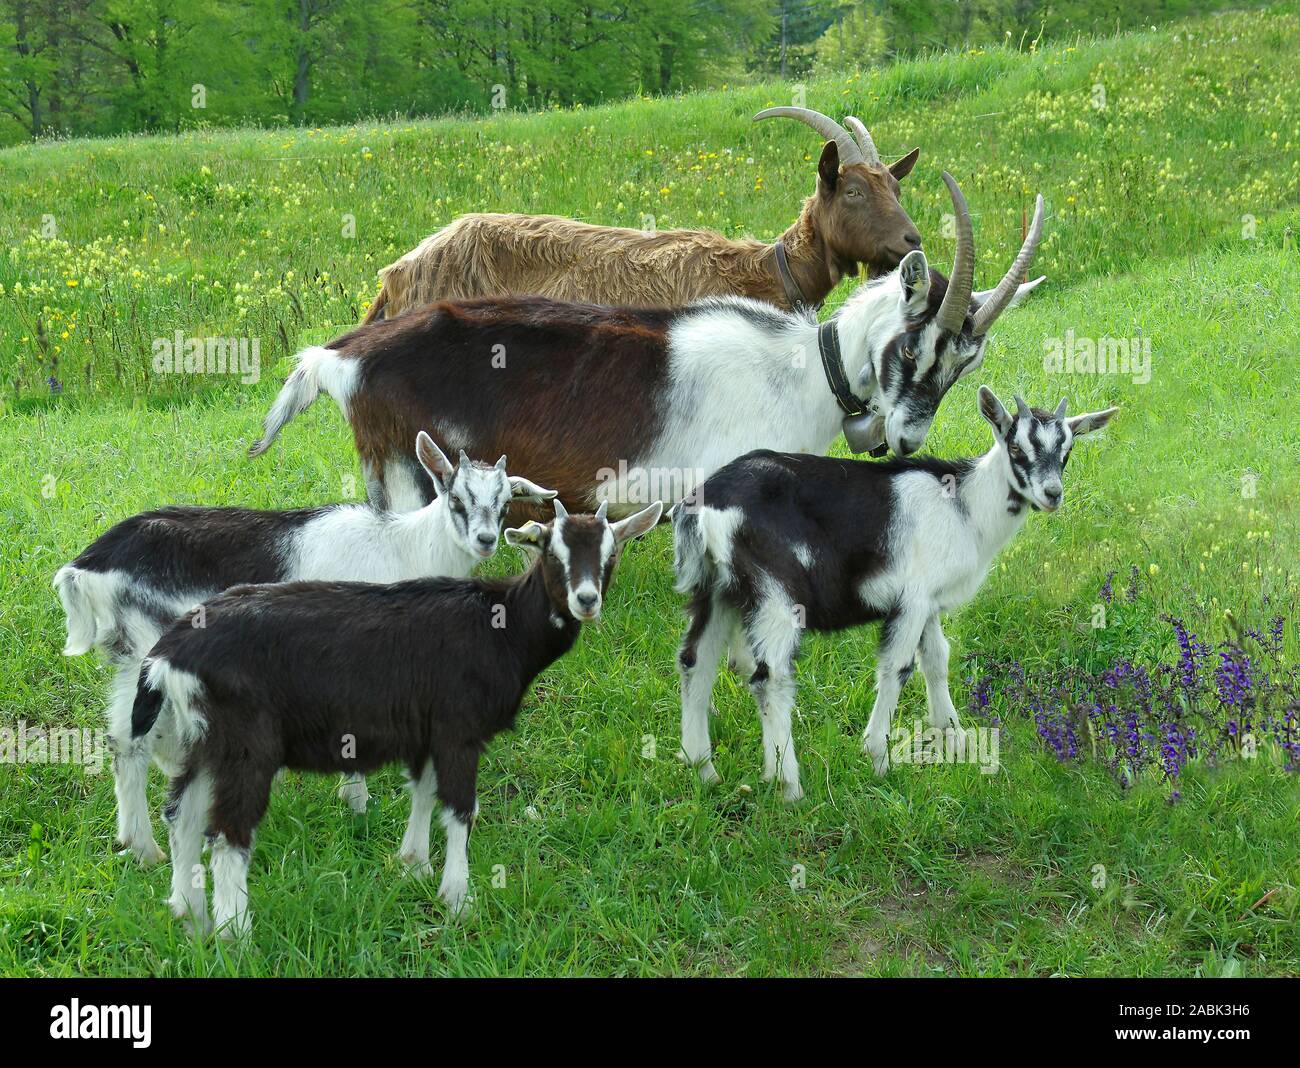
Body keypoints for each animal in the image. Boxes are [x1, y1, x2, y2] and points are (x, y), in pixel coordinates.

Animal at [54, 433, 555, 864]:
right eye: (456, 500)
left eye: (505, 503)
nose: (485, 541)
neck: (406, 547)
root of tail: (87, 566)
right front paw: (357, 804)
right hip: (148, 650)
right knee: (131, 743)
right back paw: (148, 849)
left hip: (131, 657)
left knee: (124, 740)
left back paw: (137, 843)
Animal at [130, 500, 662, 937]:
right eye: (552, 551)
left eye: (611, 554)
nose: (586, 600)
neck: (502, 626)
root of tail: (169, 653)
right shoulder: (458, 730)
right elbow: (461, 809)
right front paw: (459, 899)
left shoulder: (427, 732)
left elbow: (424, 793)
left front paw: (413, 865)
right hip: (247, 746)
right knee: (228, 835)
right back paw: (235, 934)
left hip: (204, 742)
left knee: (181, 817)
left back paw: (188, 911)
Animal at [251, 174, 1045, 517]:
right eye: (915, 346)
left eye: (966, 362)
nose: (906, 439)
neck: (799, 371)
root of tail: (340, 358)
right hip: (406, 475)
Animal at [672, 388, 1117, 801]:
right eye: (1016, 446)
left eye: (1068, 450)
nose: (1052, 494)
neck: (965, 509)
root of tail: (704, 506)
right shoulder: (913, 598)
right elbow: (898, 667)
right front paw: (879, 758)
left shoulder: (930, 603)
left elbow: (936, 659)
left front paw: (954, 737)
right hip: (775, 592)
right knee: (770, 677)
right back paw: (788, 785)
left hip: (717, 588)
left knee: (696, 661)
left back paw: (702, 768)